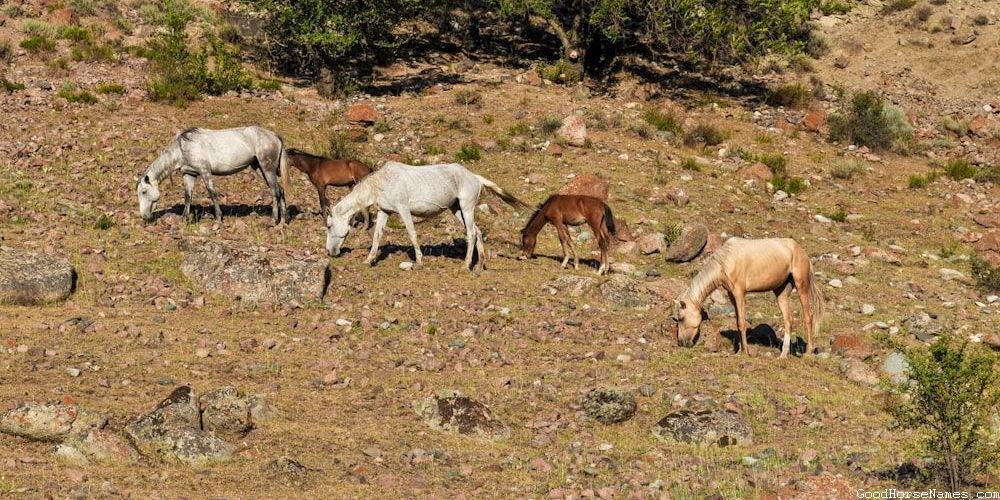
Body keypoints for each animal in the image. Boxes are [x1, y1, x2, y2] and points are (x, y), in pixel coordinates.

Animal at [136, 126, 290, 224]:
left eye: (144, 191)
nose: (144, 216)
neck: (183, 148)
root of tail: (275, 136)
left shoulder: (205, 171)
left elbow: (212, 193)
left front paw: (218, 218)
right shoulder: (189, 174)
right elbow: (188, 196)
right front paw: (184, 219)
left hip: (267, 168)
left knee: (275, 191)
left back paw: (273, 220)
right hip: (259, 168)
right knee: (280, 190)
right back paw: (283, 221)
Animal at [325, 161, 527, 270]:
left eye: (328, 226)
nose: (330, 252)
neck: (383, 182)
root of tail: (475, 177)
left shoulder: (403, 209)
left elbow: (412, 234)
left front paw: (420, 261)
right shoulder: (385, 211)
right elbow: (377, 236)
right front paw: (368, 260)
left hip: (467, 208)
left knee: (470, 233)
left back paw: (465, 265)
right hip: (457, 209)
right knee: (476, 231)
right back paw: (479, 264)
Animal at [672, 237, 825, 358]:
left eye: (681, 318)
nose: (681, 342)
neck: (726, 260)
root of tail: (799, 249)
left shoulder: (740, 293)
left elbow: (741, 323)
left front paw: (745, 352)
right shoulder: (732, 295)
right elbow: (738, 322)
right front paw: (739, 350)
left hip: (801, 286)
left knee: (808, 317)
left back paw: (808, 352)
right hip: (781, 292)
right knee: (788, 320)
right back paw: (783, 355)